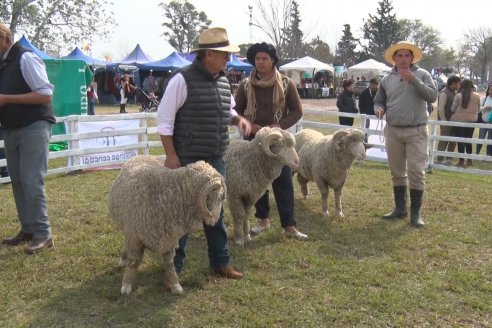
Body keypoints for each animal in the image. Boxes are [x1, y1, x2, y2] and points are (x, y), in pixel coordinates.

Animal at [108, 155, 226, 296]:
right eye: (220, 197)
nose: (216, 220)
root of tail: (142, 155)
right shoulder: (135, 237)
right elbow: (134, 262)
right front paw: (126, 285)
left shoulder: (169, 238)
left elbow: (169, 264)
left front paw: (175, 285)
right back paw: (123, 259)